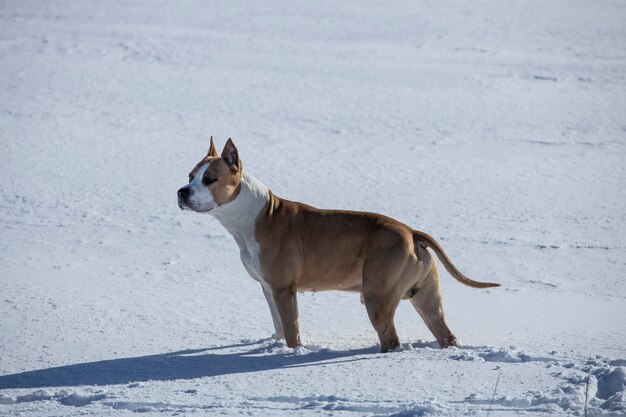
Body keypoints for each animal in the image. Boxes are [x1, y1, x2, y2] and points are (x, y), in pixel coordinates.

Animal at [176, 137, 498, 352]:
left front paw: (291, 353)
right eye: (190, 176)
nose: (182, 191)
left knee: (391, 339)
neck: (252, 216)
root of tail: (411, 232)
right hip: (426, 297)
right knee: (444, 332)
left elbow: (291, 329)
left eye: (209, 179)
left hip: (378, 298)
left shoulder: (283, 289)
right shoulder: (268, 287)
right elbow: (279, 325)